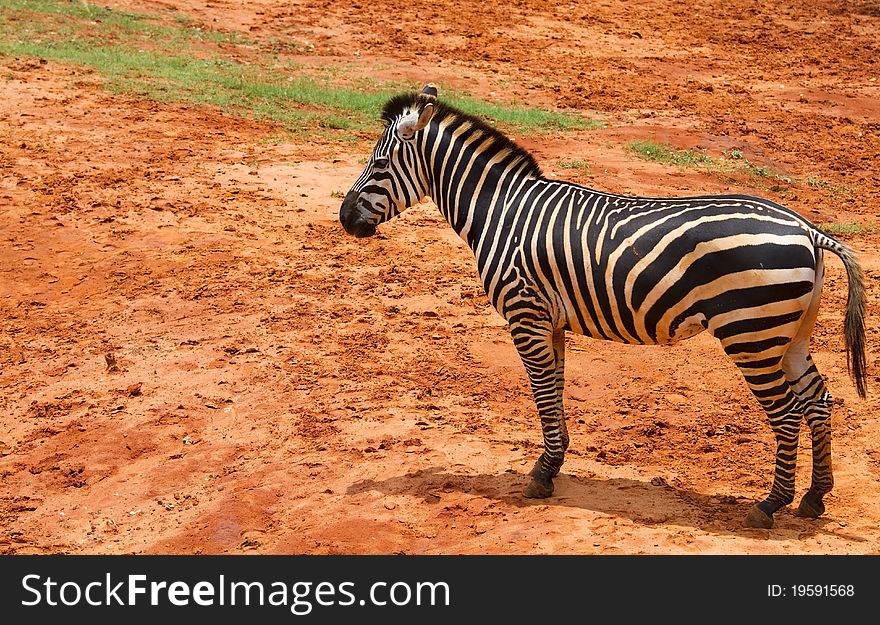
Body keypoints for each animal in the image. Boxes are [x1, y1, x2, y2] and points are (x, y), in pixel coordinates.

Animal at [336, 83, 868, 528]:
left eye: (379, 166)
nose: (343, 218)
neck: (501, 212)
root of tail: (809, 230)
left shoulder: (525, 314)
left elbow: (542, 392)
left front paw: (542, 474)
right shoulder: (550, 320)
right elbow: (555, 389)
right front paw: (553, 463)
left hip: (751, 333)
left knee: (786, 412)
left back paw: (770, 504)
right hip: (789, 333)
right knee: (818, 400)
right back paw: (814, 498)